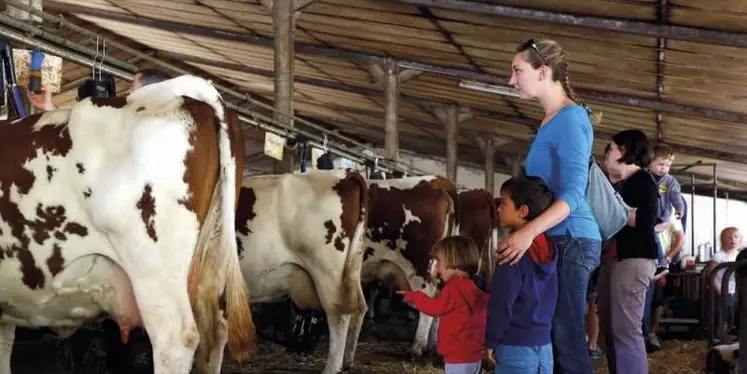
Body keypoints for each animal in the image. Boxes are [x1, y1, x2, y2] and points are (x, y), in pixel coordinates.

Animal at [235, 170, 370, 374]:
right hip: (352, 268)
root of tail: (344, 174)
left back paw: (332, 368)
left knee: (339, 314)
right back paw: (348, 362)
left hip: (328, 274)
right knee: (360, 307)